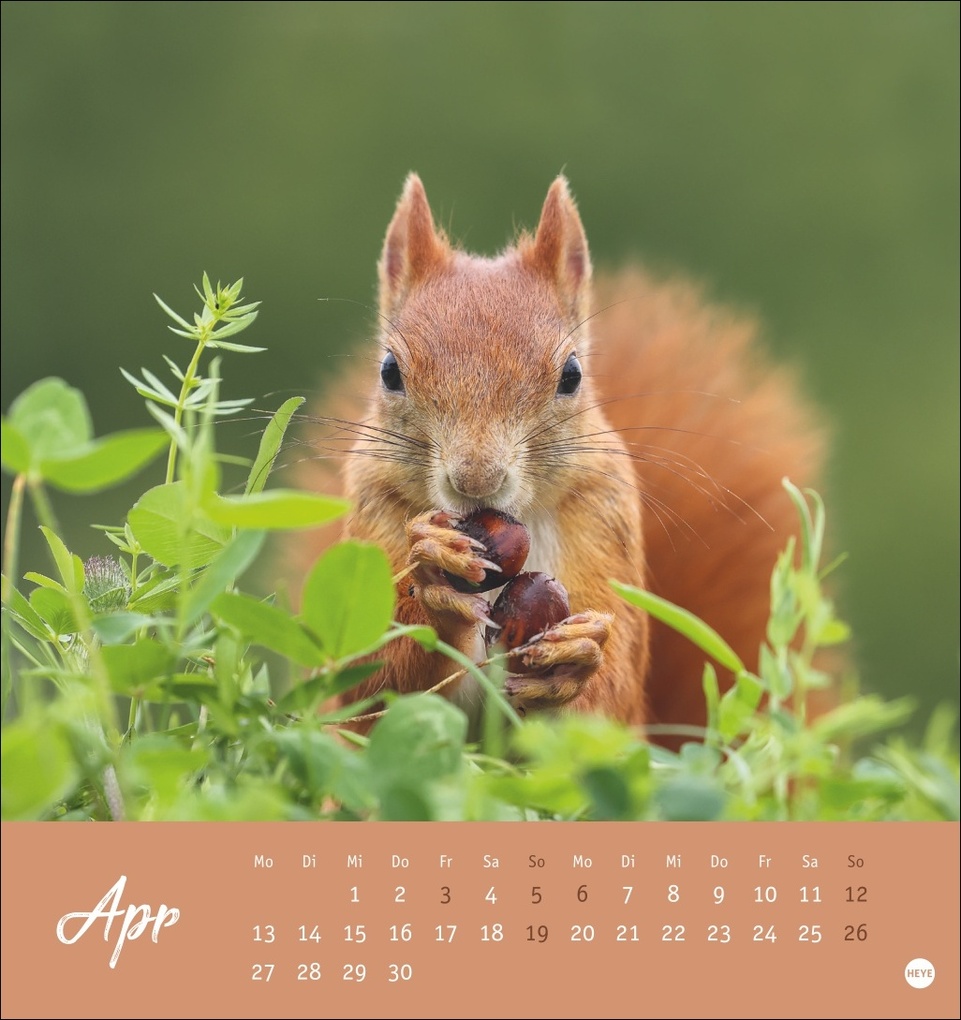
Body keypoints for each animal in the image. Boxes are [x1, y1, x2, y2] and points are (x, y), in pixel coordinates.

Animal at [295, 174, 824, 739]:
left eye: (571, 375)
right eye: (389, 371)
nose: (477, 479)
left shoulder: (601, 517)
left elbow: (610, 705)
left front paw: (575, 661)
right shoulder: (375, 512)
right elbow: (370, 685)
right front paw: (436, 576)